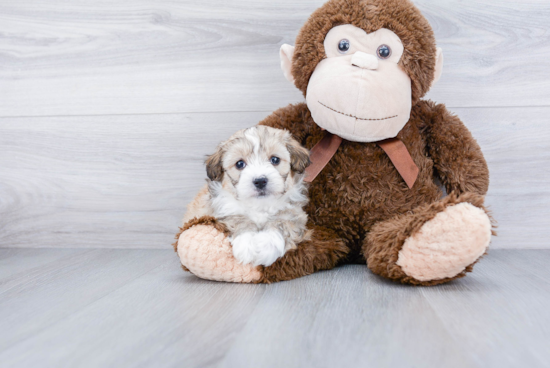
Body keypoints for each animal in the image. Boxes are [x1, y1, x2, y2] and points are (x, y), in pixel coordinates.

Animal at [181, 125, 310, 266]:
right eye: (240, 164)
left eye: (275, 160)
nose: (260, 181)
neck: (260, 204)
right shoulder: (223, 211)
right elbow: (239, 220)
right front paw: (246, 244)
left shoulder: (293, 213)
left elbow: (281, 223)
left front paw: (267, 246)